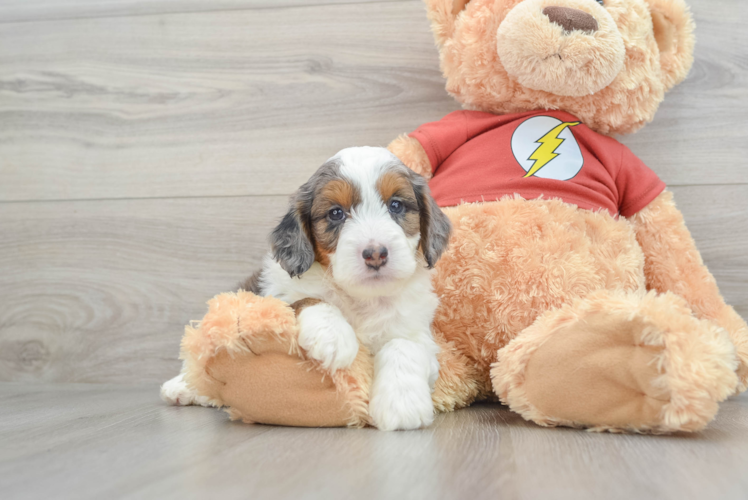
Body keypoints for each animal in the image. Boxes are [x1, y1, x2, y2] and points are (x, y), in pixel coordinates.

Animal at [162, 146, 450, 432]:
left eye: (396, 205)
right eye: (336, 213)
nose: (375, 254)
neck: (361, 297)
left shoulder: (416, 328)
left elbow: (404, 346)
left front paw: (402, 403)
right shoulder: (274, 296)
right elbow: (307, 300)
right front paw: (333, 336)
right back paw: (182, 387)